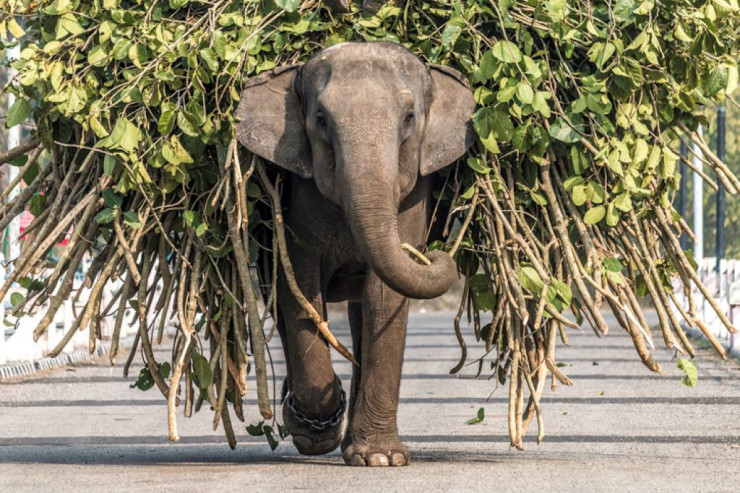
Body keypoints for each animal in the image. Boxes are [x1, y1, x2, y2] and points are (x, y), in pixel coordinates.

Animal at [236, 42, 474, 466]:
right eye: (320, 119)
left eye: (409, 117)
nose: (433, 253)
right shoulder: (297, 197)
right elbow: (301, 288)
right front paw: (317, 431)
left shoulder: (414, 193)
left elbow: (385, 296)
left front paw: (381, 459)